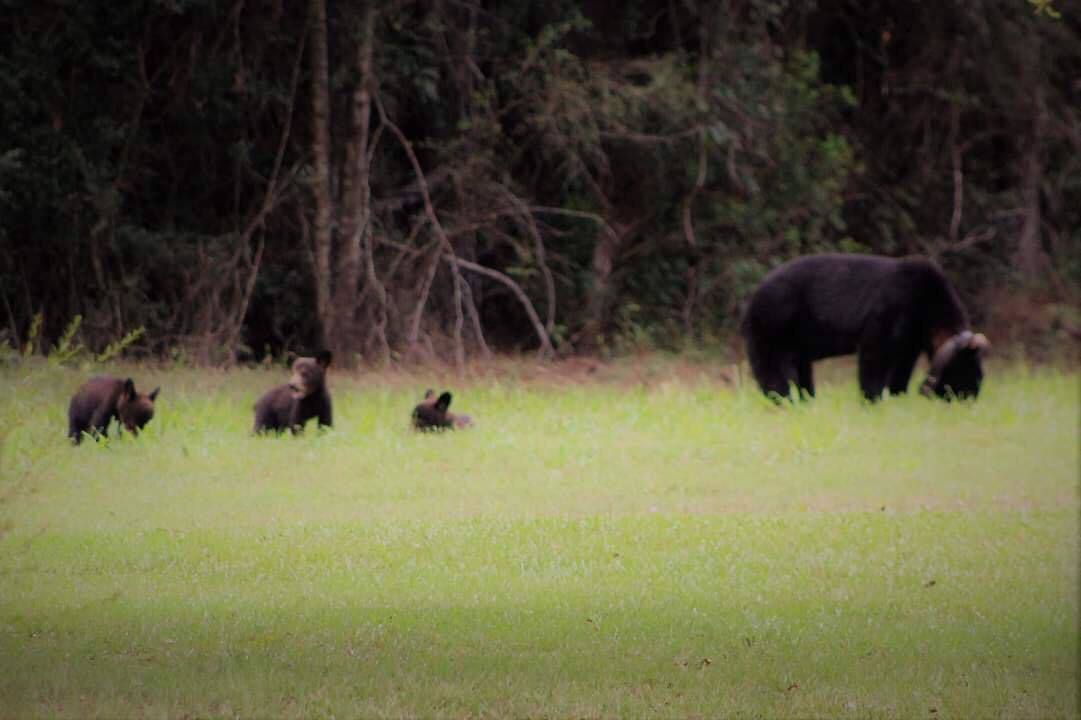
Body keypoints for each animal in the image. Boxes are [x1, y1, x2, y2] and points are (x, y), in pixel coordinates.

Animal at [741, 253, 989, 401]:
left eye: (978, 376)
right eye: (963, 373)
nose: (970, 398)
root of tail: (752, 300)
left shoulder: (911, 339)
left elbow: (902, 369)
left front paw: (897, 396)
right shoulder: (889, 312)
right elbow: (874, 356)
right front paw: (873, 400)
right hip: (773, 326)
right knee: (772, 370)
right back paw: (782, 400)